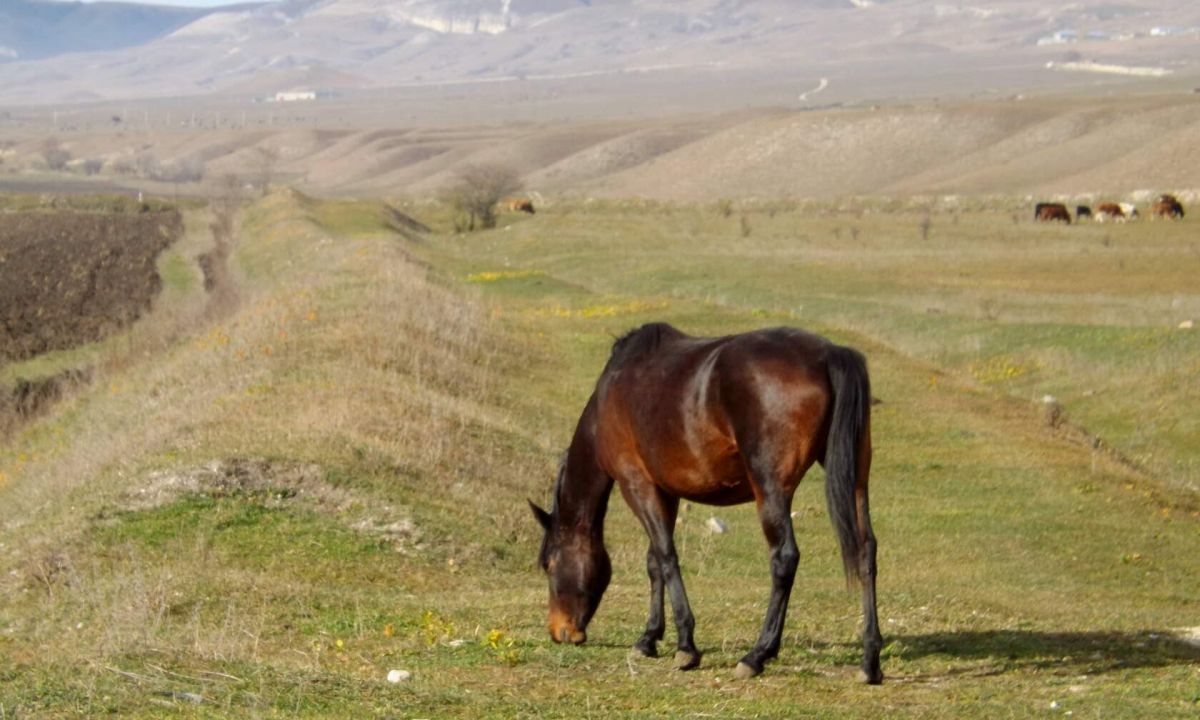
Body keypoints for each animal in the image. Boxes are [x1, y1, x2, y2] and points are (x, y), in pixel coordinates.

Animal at [528, 324, 883, 681]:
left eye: (549, 564)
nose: (559, 631)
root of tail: (828, 354)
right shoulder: (665, 490)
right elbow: (654, 562)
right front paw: (649, 638)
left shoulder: (637, 485)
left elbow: (667, 558)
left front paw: (685, 646)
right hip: (856, 478)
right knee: (866, 549)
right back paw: (870, 661)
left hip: (770, 488)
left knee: (784, 558)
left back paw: (757, 654)